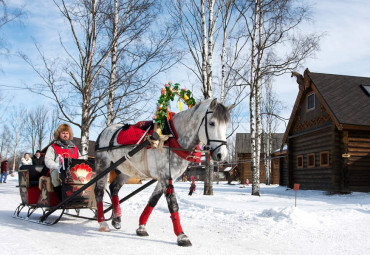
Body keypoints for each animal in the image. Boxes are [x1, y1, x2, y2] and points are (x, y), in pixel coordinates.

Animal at [94, 98, 234, 246]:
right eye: (212, 123)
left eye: (226, 126)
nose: (221, 155)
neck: (171, 138)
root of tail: (105, 131)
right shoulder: (166, 177)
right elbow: (173, 205)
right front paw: (181, 235)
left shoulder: (164, 178)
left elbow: (153, 200)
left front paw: (141, 227)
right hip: (103, 164)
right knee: (99, 190)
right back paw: (102, 222)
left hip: (127, 169)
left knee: (114, 187)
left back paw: (116, 219)